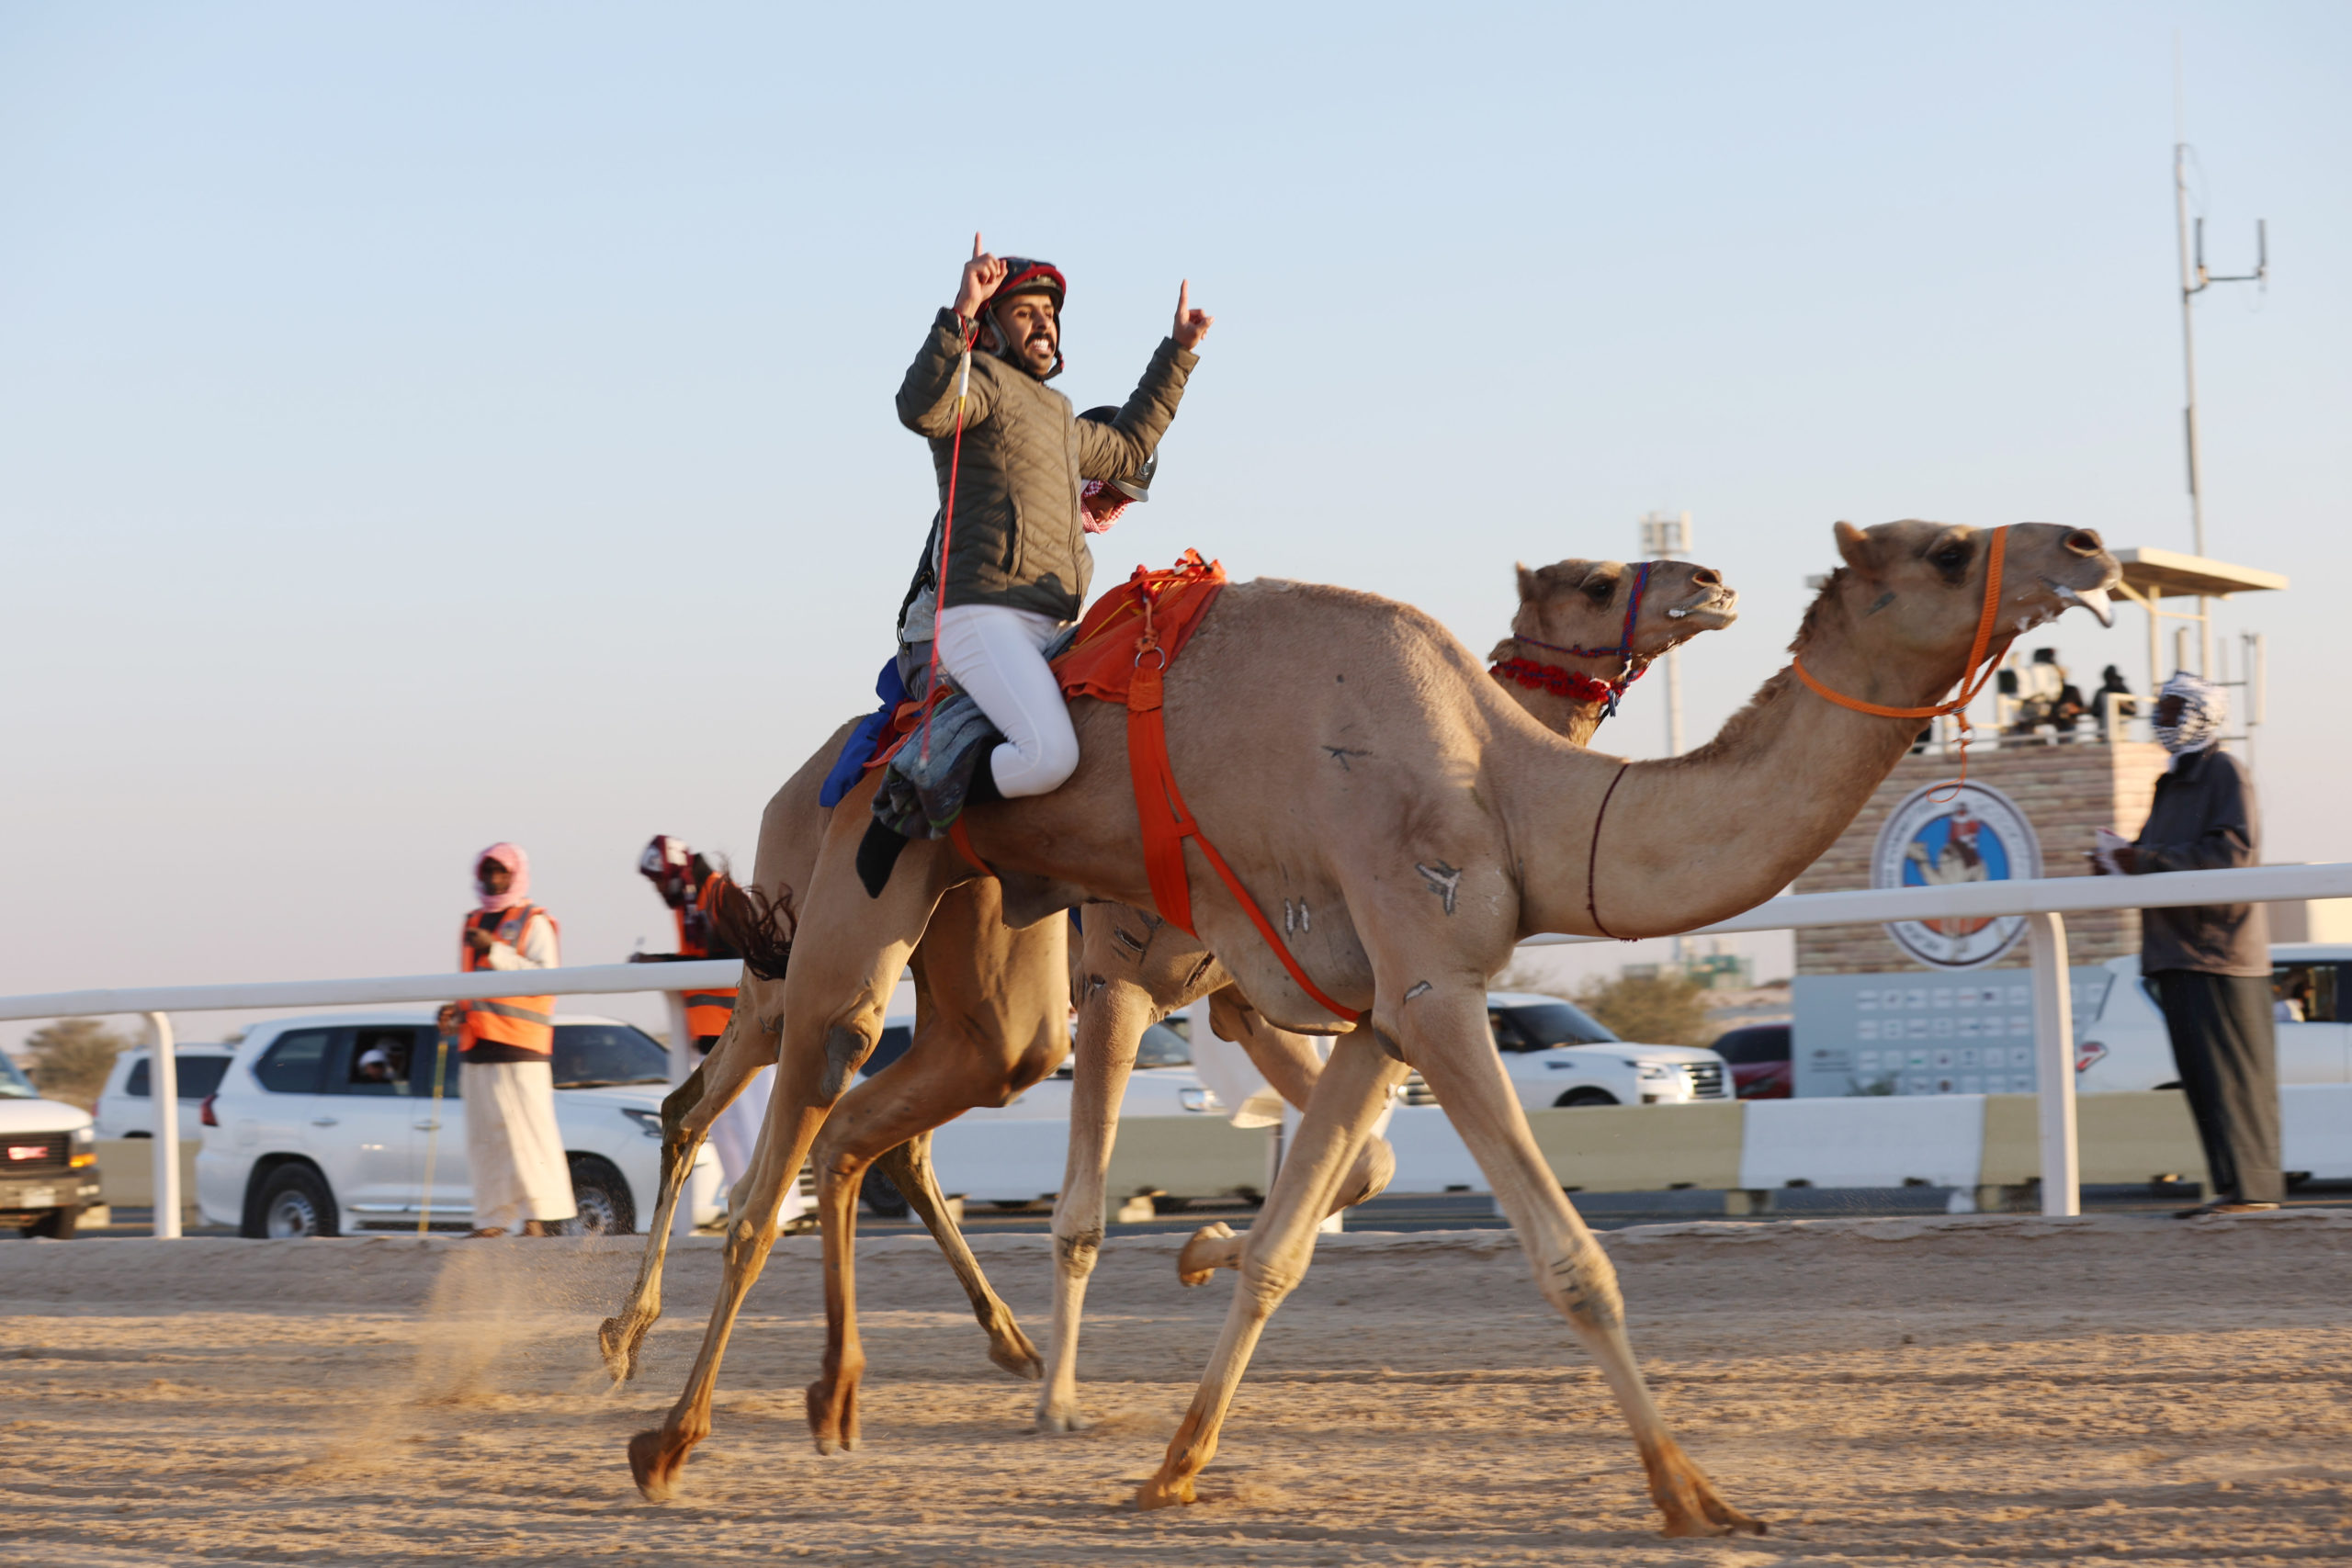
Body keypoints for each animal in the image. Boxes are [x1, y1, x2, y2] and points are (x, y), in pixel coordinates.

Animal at [620, 522, 2117, 1541]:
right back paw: (665, 1416)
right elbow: (1554, 1256)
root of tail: (839, 757)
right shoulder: (1311, 984)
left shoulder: (1351, 998)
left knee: (864, 1133)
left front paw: (1190, 1365)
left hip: (990, 980)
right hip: (848, 926)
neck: (1503, 775)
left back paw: (843, 1394)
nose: (1709, 580)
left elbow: (1322, 1203)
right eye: (1943, 546)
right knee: (760, 1134)